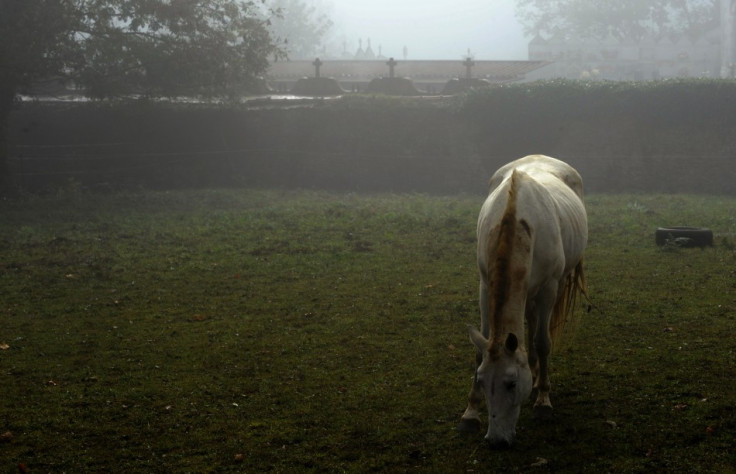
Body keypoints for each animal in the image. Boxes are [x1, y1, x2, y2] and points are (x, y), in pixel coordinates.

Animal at [458, 156, 588, 448]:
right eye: (482, 380)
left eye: (512, 383)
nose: (496, 440)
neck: (517, 222)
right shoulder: (485, 285)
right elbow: (480, 348)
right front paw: (470, 413)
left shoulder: (549, 287)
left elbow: (542, 341)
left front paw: (543, 401)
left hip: (554, 285)